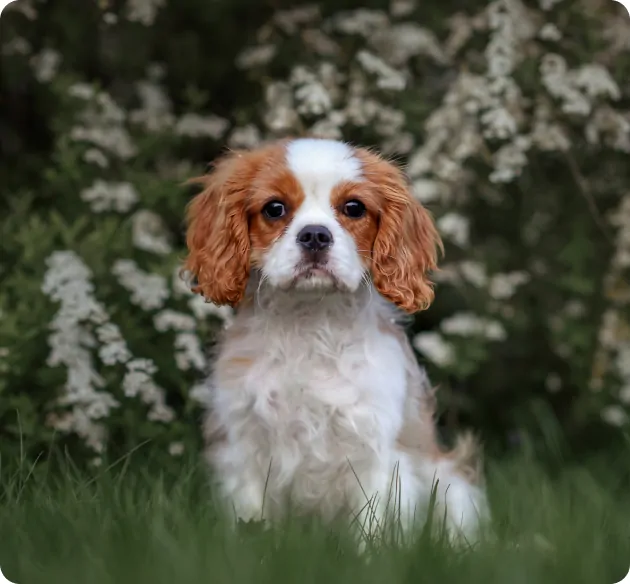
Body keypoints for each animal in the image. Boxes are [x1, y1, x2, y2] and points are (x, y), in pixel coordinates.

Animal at [183, 138, 488, 548]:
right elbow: (250, 518)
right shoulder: (244, 445)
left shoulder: (378, 453)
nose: (314, 235)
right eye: (274, 208)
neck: (310, 320)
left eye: (353, 208)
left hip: (453, 488)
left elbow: (374, 528)